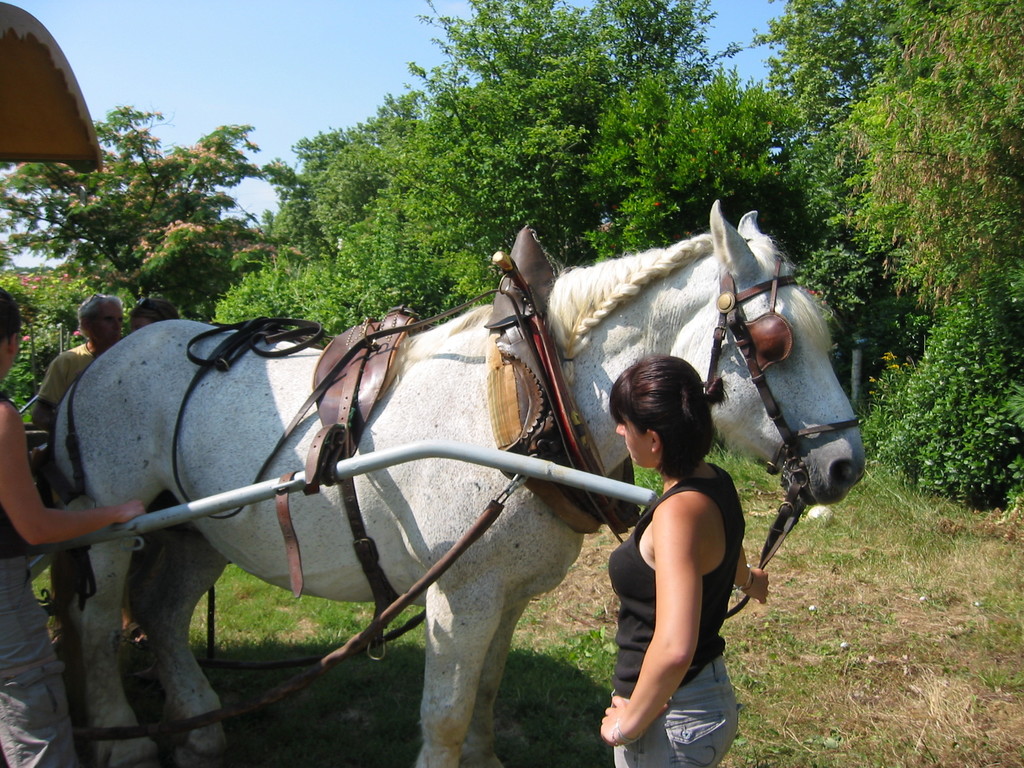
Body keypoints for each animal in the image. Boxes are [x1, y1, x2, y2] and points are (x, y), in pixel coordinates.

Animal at [48, 204, 864, 768]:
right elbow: (444, 712)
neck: (537, 396)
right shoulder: (457, 596)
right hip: (112, 526)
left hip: (197, 527)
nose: (844, 466)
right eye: (773, 344)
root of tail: (101, 362)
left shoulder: (504, 595)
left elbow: (486, 692)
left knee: (161, 611)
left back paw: (198, 726)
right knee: (96, 624)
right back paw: (123, 739)